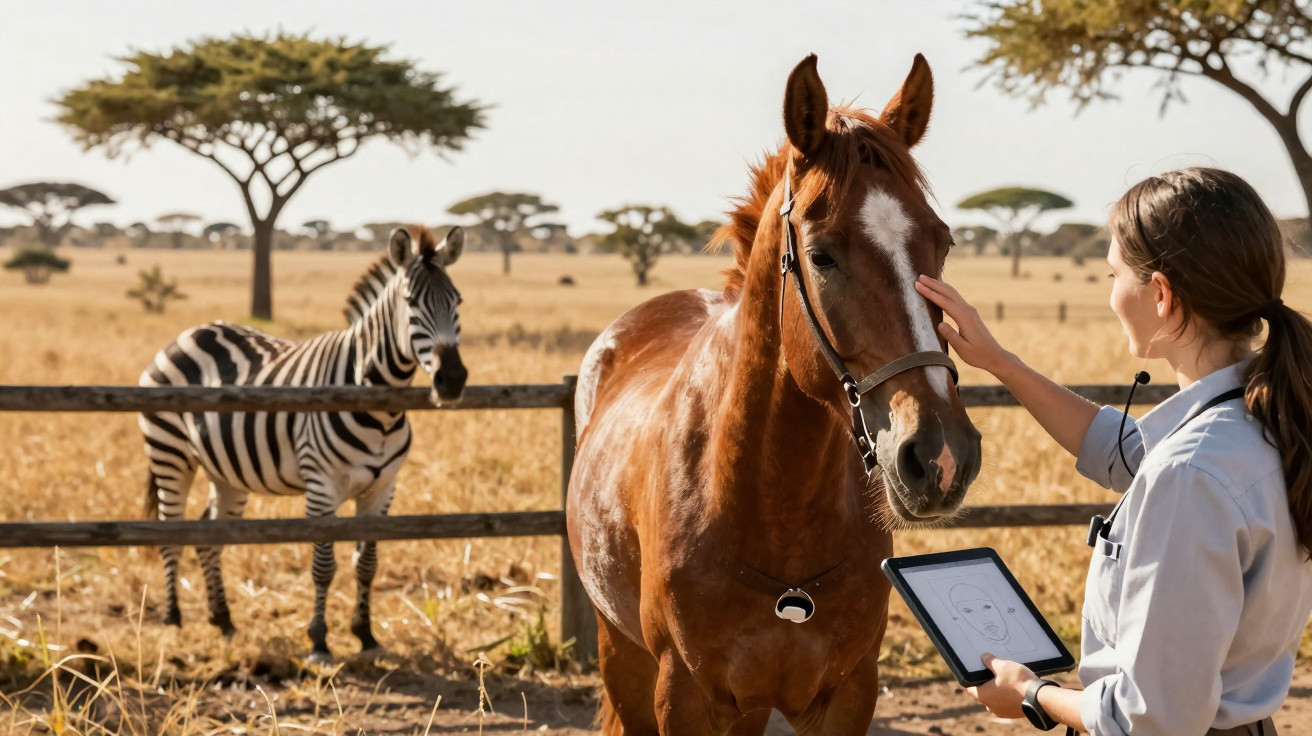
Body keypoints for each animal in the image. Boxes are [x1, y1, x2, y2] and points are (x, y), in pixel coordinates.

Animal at [138, 225, 466, 661]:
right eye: (411, 302)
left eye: (457, 301)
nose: (453, 380)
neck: (377, 408)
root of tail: (190, 333)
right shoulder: (321, 487)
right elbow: (323, 567)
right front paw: (319, 641)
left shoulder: (382, 490)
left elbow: (367, 564)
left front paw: (366, 635)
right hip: (170, 453)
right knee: (171, 530)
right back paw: (173, 620)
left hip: (225, 471)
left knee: (209, 536)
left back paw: (223, 620)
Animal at [566, 55, 982, 734]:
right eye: (821, 254)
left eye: (941, 242)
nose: (940, 455)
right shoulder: (682, 696)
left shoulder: (845, 694)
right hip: (621, 656)